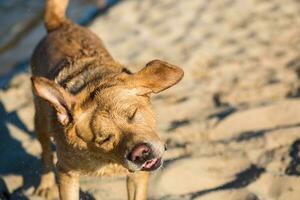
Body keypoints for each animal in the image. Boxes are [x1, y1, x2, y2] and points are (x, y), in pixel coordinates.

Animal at [30, 0, 183, 199]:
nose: (140, 153)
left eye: (133, 114)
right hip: (40, 120)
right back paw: (46, 184)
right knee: (46, 151)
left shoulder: (138, 176)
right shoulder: (66, 172)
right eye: (104, 138)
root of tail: (59, 25)